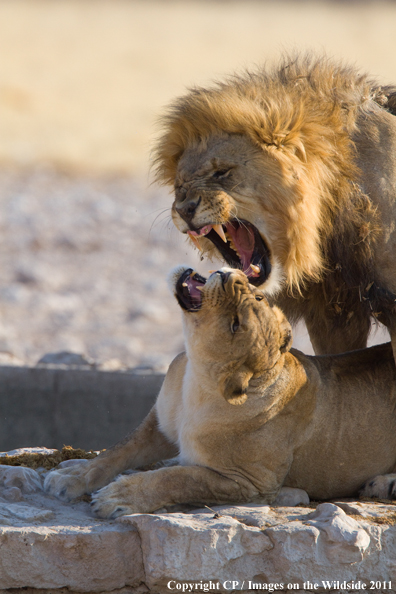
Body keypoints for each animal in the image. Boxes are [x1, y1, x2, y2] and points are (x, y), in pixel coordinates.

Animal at [45, 266, 396, 516]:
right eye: (259, 298)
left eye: (235, 324)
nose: (233, 278)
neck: (197, 377)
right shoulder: (158, 426)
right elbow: (115, 452)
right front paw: (70, 477)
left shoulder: (248, 482)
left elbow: (181, 479)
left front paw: (121, 495)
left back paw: (380, 485)